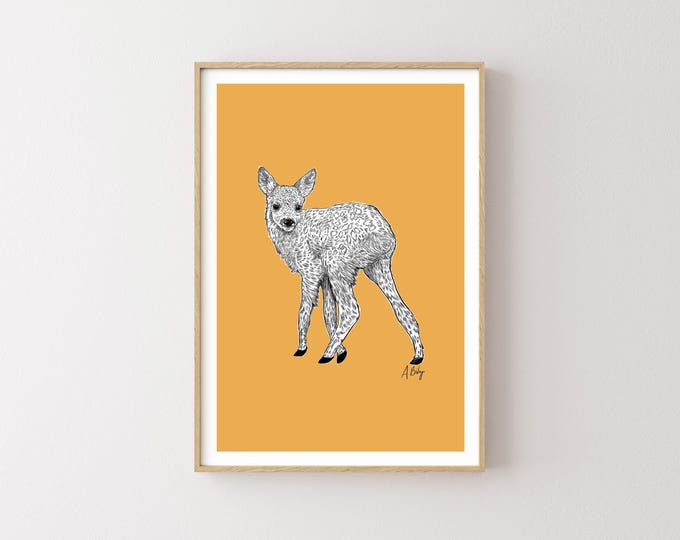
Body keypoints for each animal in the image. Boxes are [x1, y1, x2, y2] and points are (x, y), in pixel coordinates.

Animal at [258, 166, 424, 365]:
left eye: (298, 206)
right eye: (275, 205)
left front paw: (302, 349)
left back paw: (325, 355)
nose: (288, 221)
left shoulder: (311, 269)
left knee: (351, 309)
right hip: (376, 267)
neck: (293, 238)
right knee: (401, 310)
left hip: (337, 261)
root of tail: (387, 234)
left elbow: (304, 309)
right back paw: (417, 356)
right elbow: (328, 313)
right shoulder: (324, 276)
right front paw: (342, 353)